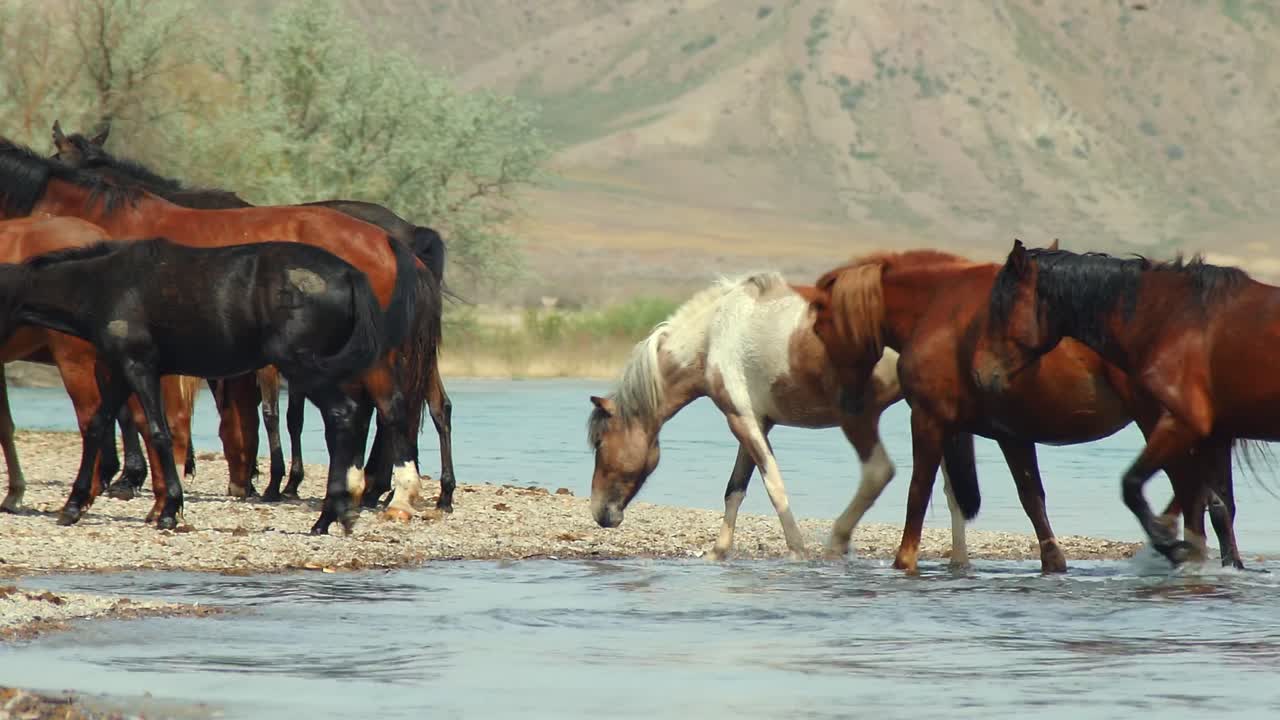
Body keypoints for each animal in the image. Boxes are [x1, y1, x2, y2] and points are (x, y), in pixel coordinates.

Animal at [588, 271, 980, 562]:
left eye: (600, 444)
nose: (599, 514)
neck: (714, 336)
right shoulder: (757, 421)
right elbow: (735, 489)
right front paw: (718, 552)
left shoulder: (742, 420)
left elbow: (774, 485)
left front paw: (798, 550)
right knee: (951, 491)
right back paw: (958, 562)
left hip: (862, 418)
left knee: (879, 473)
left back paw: (836, 542)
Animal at [807, 246, 1241, 574]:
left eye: (819, 326)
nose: (848, 401)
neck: (938, 309)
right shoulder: (1010, 434)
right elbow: (1032, 497)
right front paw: (1053, 562)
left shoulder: (929, 420)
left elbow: (918, 492)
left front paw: (904, 561)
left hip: (1159, 423)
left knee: (1191, 492)